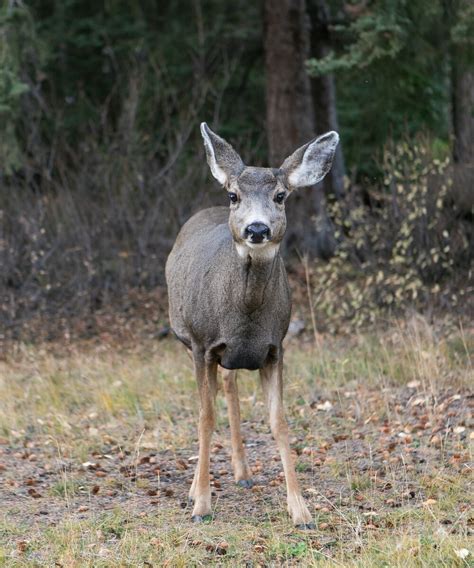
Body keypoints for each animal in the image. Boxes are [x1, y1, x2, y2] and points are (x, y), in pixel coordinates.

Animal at [165, 123, 338, 528]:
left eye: (280, 195)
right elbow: (205, 417)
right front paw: (201, 505)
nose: (256, 228)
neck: (244, 316)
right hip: (188, 341)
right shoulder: (202, 344)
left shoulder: (275, 348)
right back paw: (200, 486)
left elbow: (279, 422)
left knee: (229, 384)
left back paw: (242, 473)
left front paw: (300, 510)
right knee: (213, 396)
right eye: (233, 195)